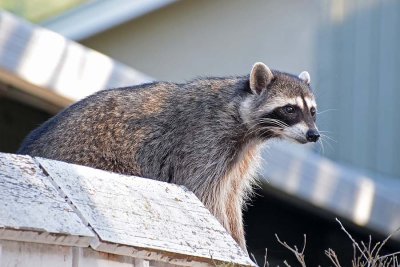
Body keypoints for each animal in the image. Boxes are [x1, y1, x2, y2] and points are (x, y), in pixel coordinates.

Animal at [18, 61, 318, 252]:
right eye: (290, 109)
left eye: (312, 111)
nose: (314, 135)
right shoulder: (202, 141)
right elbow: (204, 193)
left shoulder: (241, 156)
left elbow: (231, 198)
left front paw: (239, 243)